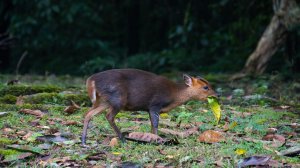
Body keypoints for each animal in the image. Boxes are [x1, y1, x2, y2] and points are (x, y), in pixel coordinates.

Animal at [81, 68, 217, 144]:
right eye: (206, 87)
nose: (217, 94)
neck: (174, 94)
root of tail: (91, 80)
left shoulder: (149, 108)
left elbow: (152, 124)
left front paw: (152, 138)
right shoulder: (155, 104)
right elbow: (155, 124)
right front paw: (158, 139)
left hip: (103, 101)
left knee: (88, 114)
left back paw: (83, 141)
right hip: (117, 99)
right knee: (109, 116)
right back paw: (123, 139)